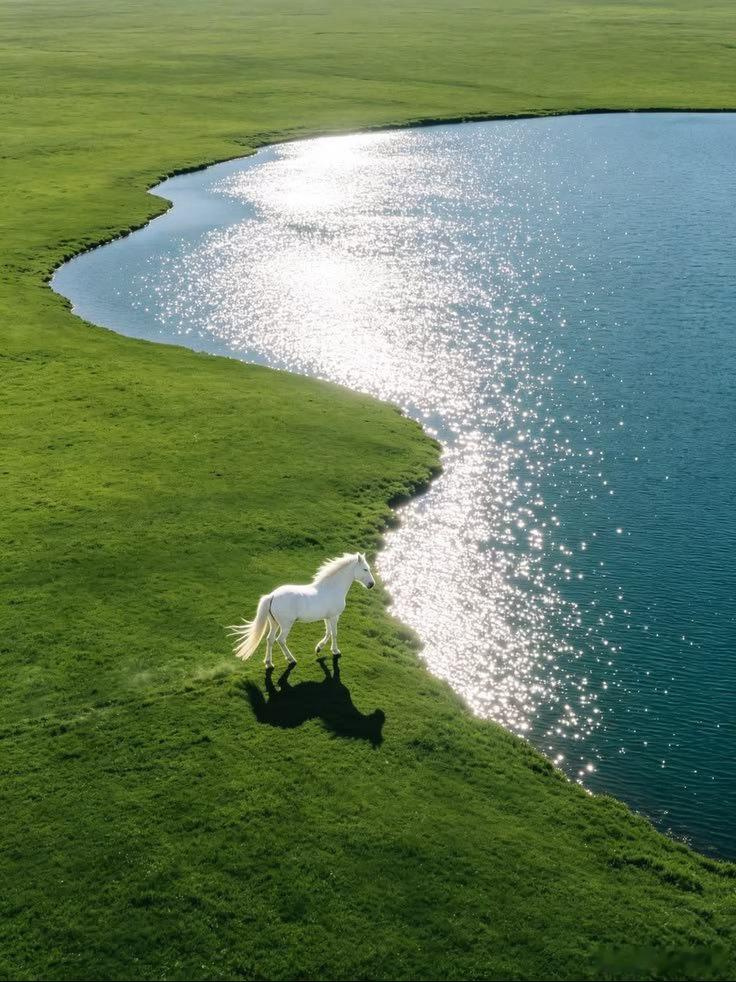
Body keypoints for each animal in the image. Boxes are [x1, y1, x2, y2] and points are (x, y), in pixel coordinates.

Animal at [228, 552, 376, 667]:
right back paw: (291, 659)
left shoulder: (327, 617)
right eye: (365, 569)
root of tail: (272, 596)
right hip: (286, 625)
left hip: (274, 623)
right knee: (280, 640)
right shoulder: (334, 616)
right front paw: (335, 651)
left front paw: (319, 648)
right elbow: (334, 633)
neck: (332, 588)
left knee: (270, 639)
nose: (371, 584)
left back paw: (269, 663)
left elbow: (328, 633)